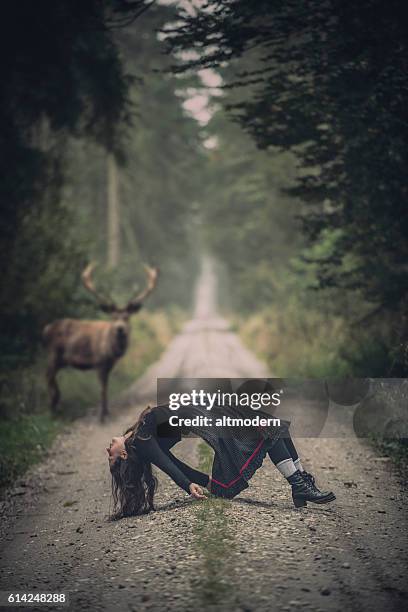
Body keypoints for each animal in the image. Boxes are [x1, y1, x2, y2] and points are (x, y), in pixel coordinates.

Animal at [43, 260, 159, 424]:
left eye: (127, 317)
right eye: (114, 317)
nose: (120, 329)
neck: (111, 350)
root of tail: (46, 330)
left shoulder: (109, 364)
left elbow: (107, 387)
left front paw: (107, 412)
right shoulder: (99, 362)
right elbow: (102, 388)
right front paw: (102, 416)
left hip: (60, 359)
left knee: (50, 376)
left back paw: (55, 405)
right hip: (54, 353)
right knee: (48, 375)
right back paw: (53, 408)